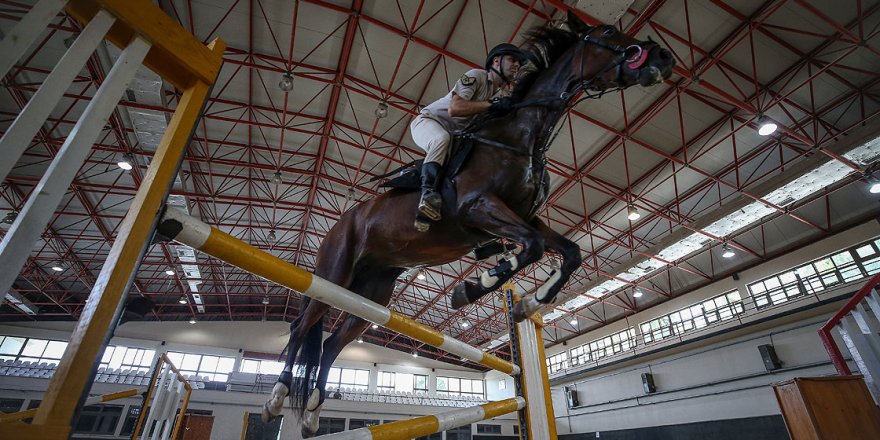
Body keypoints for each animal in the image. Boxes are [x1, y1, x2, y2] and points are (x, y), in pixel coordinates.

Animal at [262, 11, 672, 436]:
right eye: (608, 32)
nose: (662, 56)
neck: (519, 135)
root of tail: (339, 224)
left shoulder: (524, 217)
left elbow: (568, 252)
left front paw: (531, 302)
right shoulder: (479, 209)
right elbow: (532, 248)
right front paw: (476, 286)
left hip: (371, 293)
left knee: (331, 343)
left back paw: (312, 413)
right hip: (335, 271)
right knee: (301, 327)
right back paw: (276, 397)